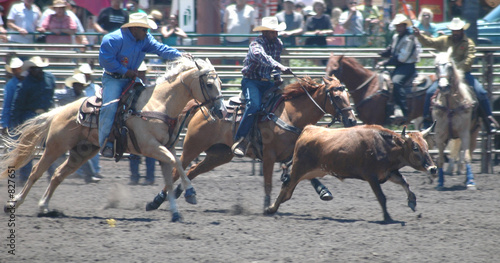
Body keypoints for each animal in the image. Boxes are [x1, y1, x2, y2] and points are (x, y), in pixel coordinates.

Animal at [0, 57, 227, 223]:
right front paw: (190, 193)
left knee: (57, 175)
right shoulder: (151, 147)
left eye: (220, 83)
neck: (158, 105)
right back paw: (14, 203)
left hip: (81, 152)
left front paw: (174, 212)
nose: (222, 111)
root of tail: (59, 111)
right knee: (36, 171)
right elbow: (177, 163)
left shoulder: (166, 148)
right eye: (209, 84)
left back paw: (44, 206)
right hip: (56, 146)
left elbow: (171, 175)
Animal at [146, 76, 358, 212]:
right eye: (336, 96)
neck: (289, 115)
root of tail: (201, 108)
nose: (352, 120)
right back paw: (155, 201)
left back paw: (181, 193)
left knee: (192, 171)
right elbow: (268, 183)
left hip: (219, 155)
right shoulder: (269, 156)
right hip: (192, 147)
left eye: (348, 95)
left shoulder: (293, 155)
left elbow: (305, 177)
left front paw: (324, 191)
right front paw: (267, 206)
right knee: (177, 170)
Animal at [432, 49, 478, 190]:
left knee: (467, 153)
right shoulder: (439, 135)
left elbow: (467, 157)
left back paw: (466, 179)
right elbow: (440, 159)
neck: (450, 106)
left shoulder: (464, 133)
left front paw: (471, 183)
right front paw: (440, 183)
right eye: (436, 67)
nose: (443, 87)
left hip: (473, 133)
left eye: (450, 66)